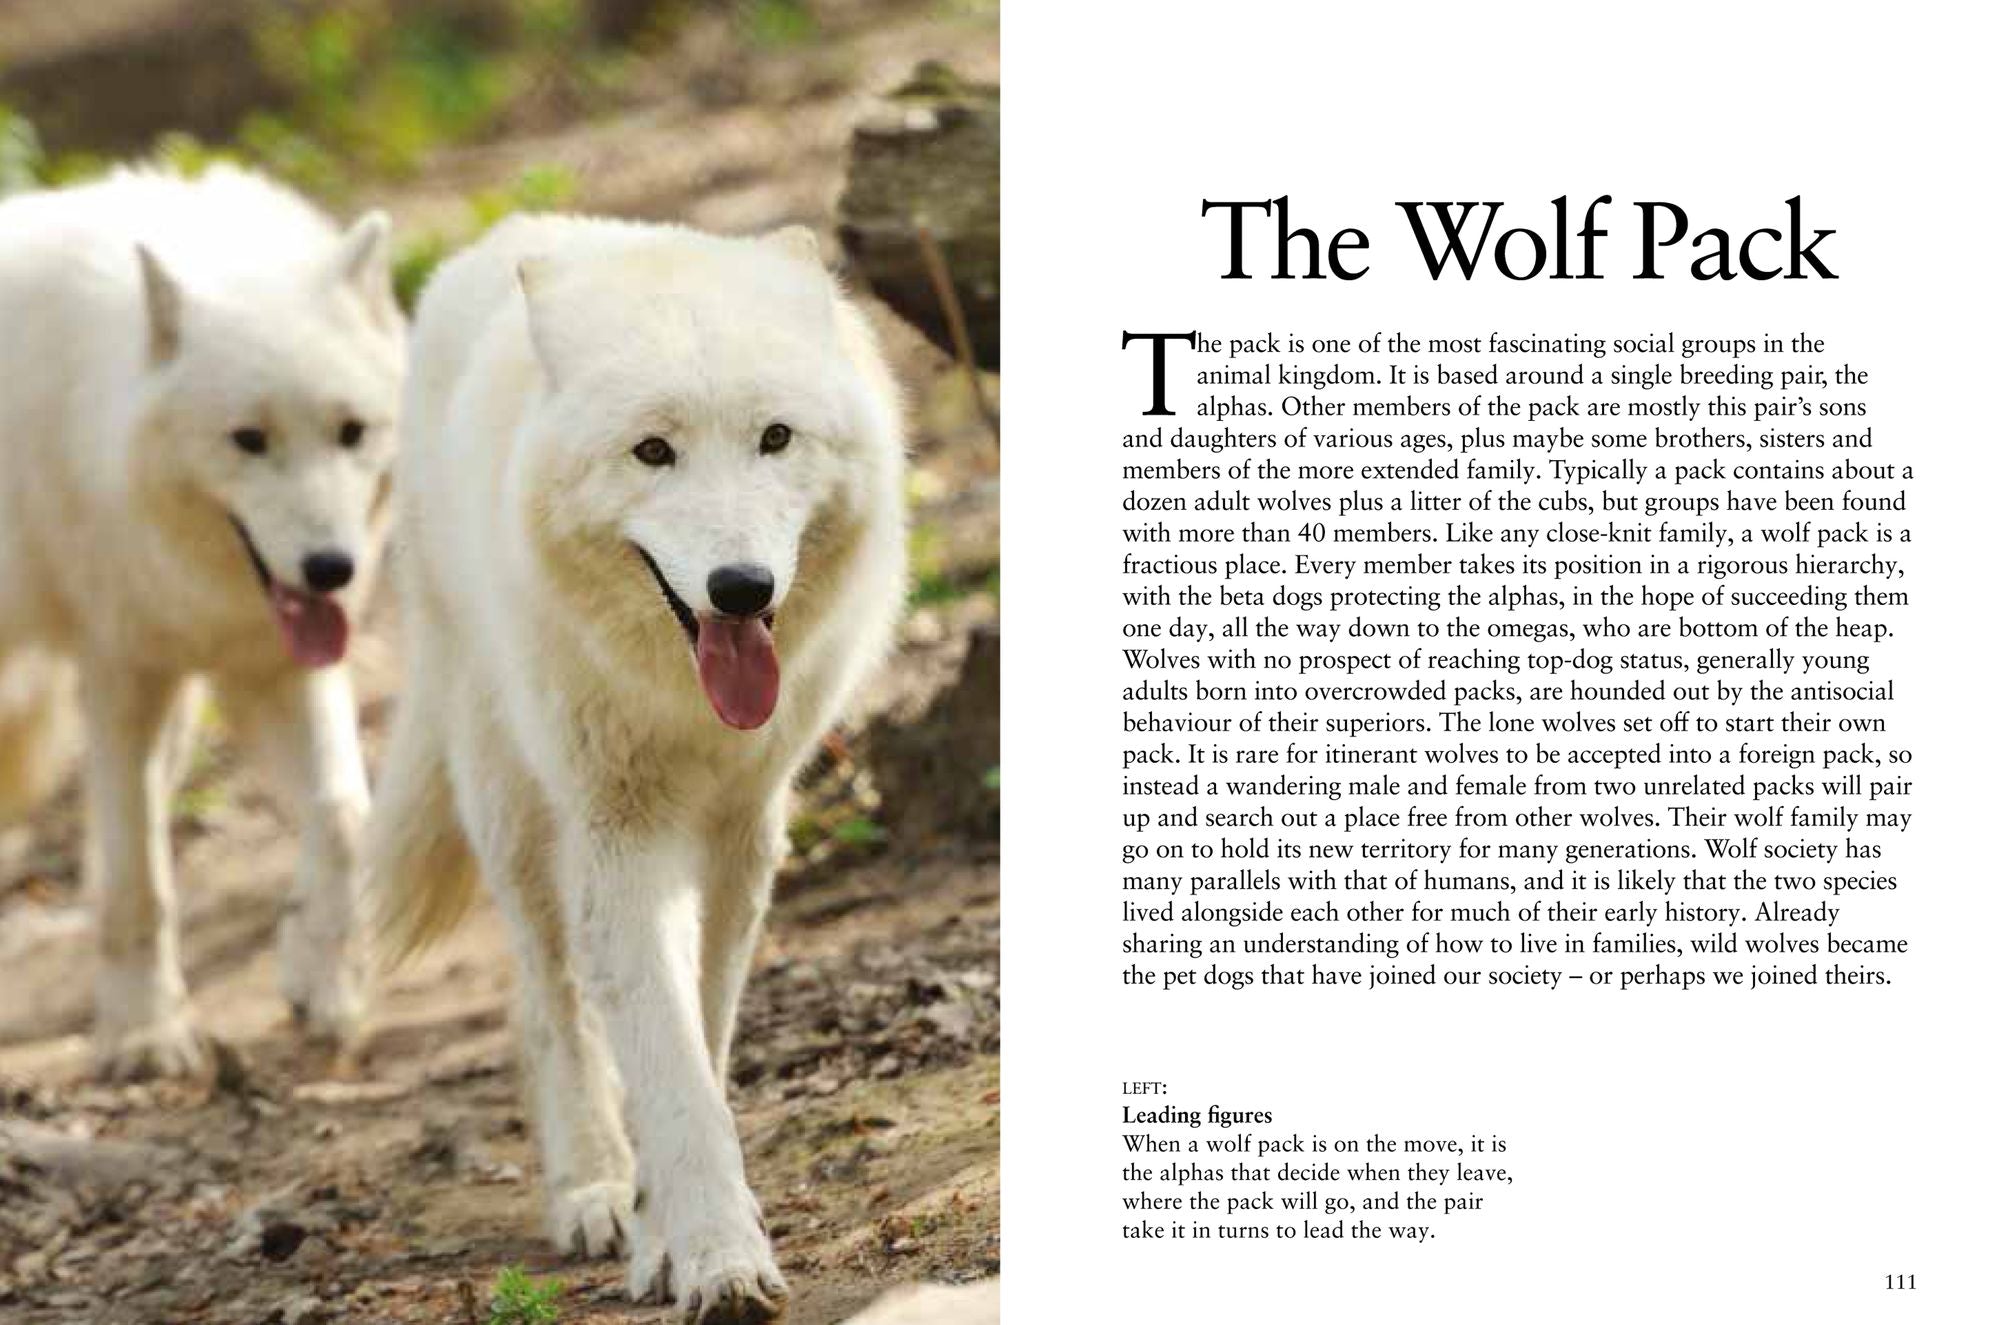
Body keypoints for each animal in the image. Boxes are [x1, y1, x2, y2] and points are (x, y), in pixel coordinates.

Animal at [0, 166, 404, 1077]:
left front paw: (322, 978)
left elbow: (343, 817)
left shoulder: (274, 664)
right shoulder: (121, 675)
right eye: (247, 439)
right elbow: (142, 883)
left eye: (351, 432)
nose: (331, 568)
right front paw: (146, 1036)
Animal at [370, 214, 905, 1323]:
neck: (684, 707)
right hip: (512, 809)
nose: (740, 588)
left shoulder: (746, 827)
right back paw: (590, 1184)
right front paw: (712, 1256)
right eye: (652, 451)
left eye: (775, 437)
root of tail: (517, 233)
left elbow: (700, 1033)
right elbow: (659, 1053)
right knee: (549, 1001)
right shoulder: (616, 834)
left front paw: (676, 1233)